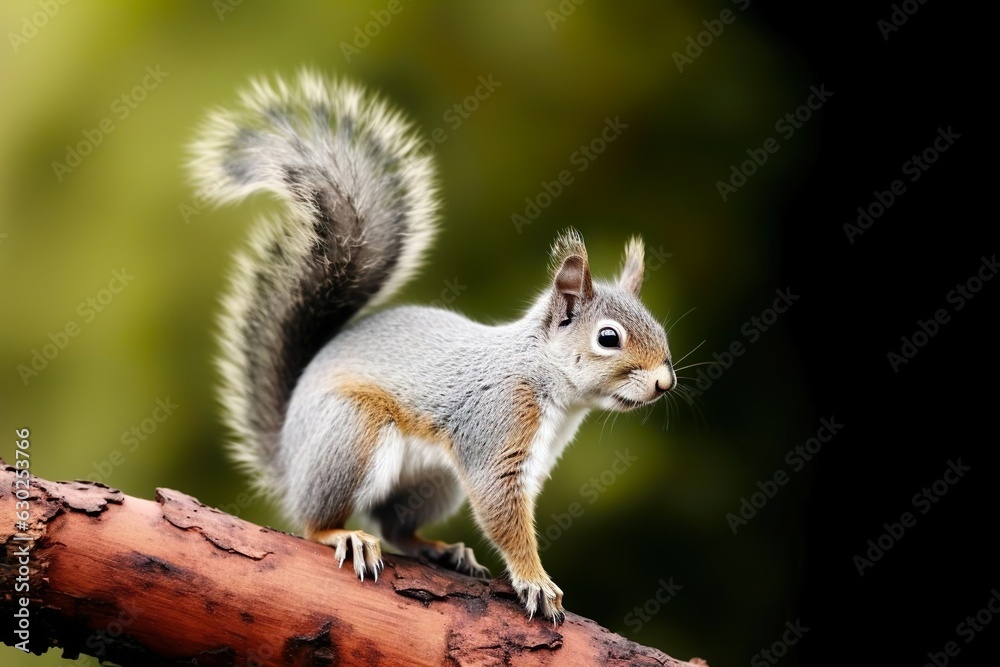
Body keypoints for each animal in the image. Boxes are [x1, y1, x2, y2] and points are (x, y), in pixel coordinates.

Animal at [190, 70, 676, 624]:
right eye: (608, 338)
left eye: (659, 328)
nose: (666, 382)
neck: (544, 378)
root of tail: (290, 460)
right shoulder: (498, 426)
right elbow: (502, 512)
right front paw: (536, 581)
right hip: (353, 434)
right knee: (315, 523)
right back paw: (344, 534)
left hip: (434, 481)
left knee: (397, 527)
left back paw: (441, 550)